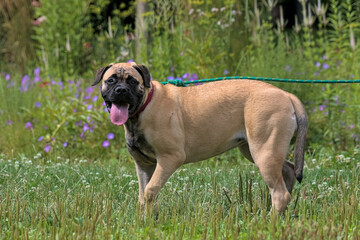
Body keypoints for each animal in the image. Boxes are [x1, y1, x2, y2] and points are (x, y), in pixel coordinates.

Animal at [92, 61, 306, 212]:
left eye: (132, 81)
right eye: (111, 80)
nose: (121, 90)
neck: (145, 106)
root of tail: (286, 94)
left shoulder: (169, 158)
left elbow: (150, 191)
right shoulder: (144, 165)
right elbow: (143, 195)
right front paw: (145, 220)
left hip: (264, 150)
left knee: (279, 194)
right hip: (258, 150)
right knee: (287, 172)